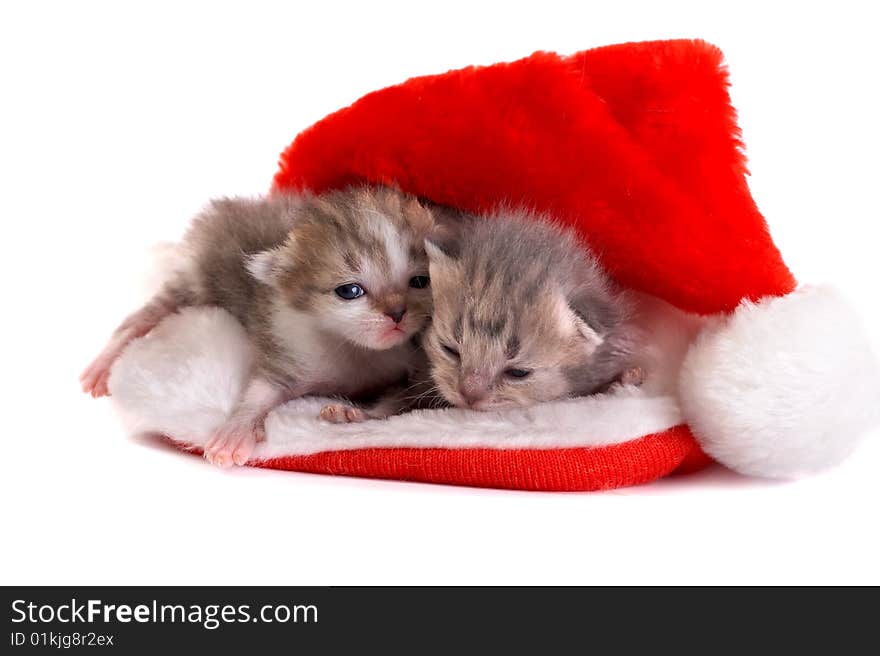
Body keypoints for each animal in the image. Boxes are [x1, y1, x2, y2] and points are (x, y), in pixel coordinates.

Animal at [82, 187, 434, 466]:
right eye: (350, 291)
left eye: (420, 281)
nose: (397, 312)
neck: (353, 346)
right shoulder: (289, 343)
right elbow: (264, 387)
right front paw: (236, 430)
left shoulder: (412, 368)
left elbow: (402, 400)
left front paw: (358, 414)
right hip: (197, 278)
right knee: (146, 314)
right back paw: (105, 362)